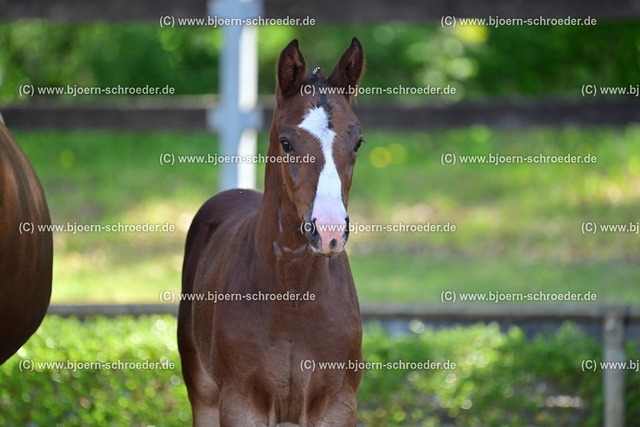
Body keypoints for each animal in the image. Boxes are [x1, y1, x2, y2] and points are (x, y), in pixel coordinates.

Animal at [178, 38, 365, 425]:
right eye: (286, 142)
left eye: (358, 142)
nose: (328, 230)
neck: (293, 295)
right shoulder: (241, 403)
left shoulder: (337, 403)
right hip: (202, 390)